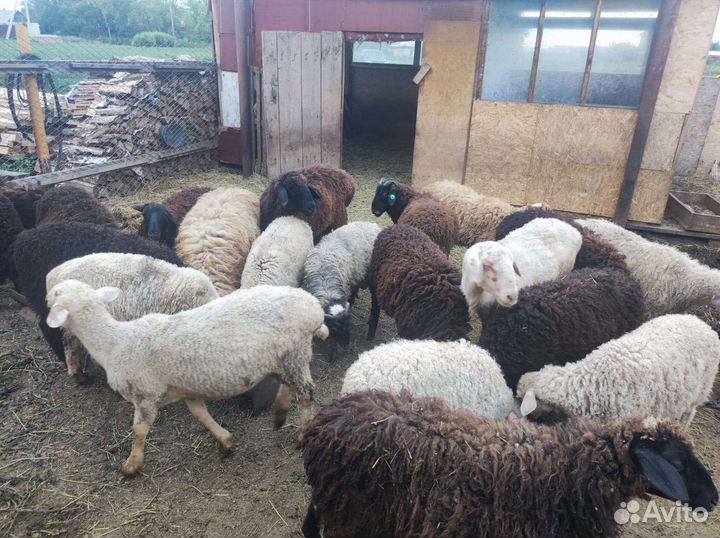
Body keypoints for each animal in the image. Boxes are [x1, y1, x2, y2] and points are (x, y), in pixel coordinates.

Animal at [45, 279, 329, 476]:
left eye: (57, 294)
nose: (47, 295)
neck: (114, 343)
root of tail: (313, 308)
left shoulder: (145, 394)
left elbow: (138, 431)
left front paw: (131, 466)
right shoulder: (188, 389)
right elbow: (200, 415)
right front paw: (225, 441)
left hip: (295, 351)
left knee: (306, 394)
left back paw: (301, 435)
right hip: (285, 357)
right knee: (287, 385)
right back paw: (280, 414)